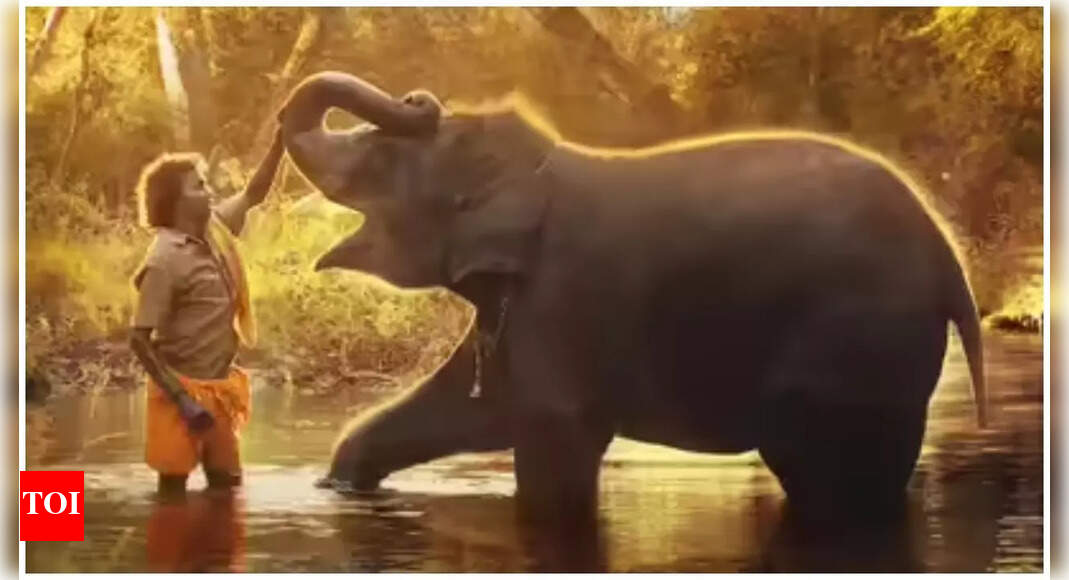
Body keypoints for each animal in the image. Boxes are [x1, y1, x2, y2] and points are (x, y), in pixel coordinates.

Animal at [277, 71, 987, 524]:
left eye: (378, 163)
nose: (419, 96)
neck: (532, 166)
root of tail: (949, 259)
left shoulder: (564, 297)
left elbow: (554, 446)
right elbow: (470, 408)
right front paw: (337, 484)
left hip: (857, 339)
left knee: (832, 480)